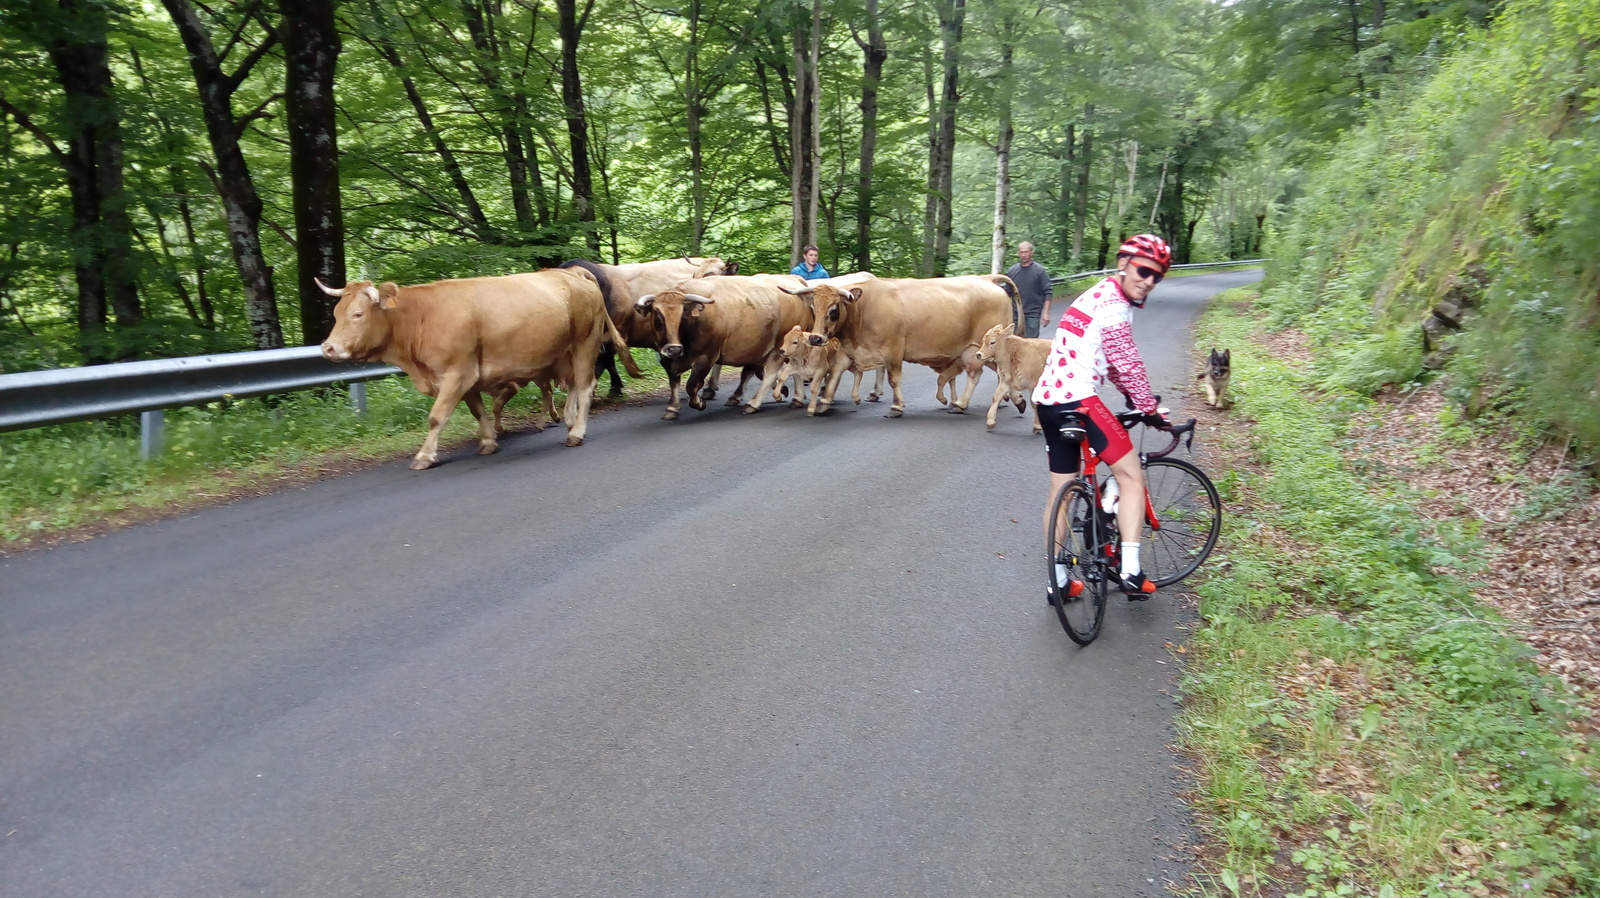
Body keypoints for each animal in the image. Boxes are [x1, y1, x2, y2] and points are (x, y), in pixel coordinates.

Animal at [317, 268, 642, 469]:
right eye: (336, 313)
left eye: (357, 314)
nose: (328, 348)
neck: (422, 318)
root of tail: (570, 271)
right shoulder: (467, 376)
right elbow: (478, 410)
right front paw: (488, 441)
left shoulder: (457, 373)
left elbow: (436, 417)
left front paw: (425, 455)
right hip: (562, 353)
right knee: (573, 384)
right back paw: (568, 419)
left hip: (585, 343)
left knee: (586, 386)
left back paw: (577, 432)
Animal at [632, 274, 812, 419]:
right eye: (657, 315)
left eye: (682, 315)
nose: (674, 349)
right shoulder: (667, 359)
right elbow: (674, 381)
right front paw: (672, 408)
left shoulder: (706, 358)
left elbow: (692, 385)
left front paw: (699, 403)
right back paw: (796, 398)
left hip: (779, 346)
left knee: (770, 374)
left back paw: (753, 404)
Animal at [781, 274, 1021, 417]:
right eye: (813, 308)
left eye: (833, 310)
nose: (815, 339)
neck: (863, 311)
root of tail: (986, 278)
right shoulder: (847, 352)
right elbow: (834, 375)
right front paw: (824, 402)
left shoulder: (893, 351)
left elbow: (893, 379)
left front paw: (896, 407)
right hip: (976, 352)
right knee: (984, 374)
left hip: (983, 348)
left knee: (985, 374)